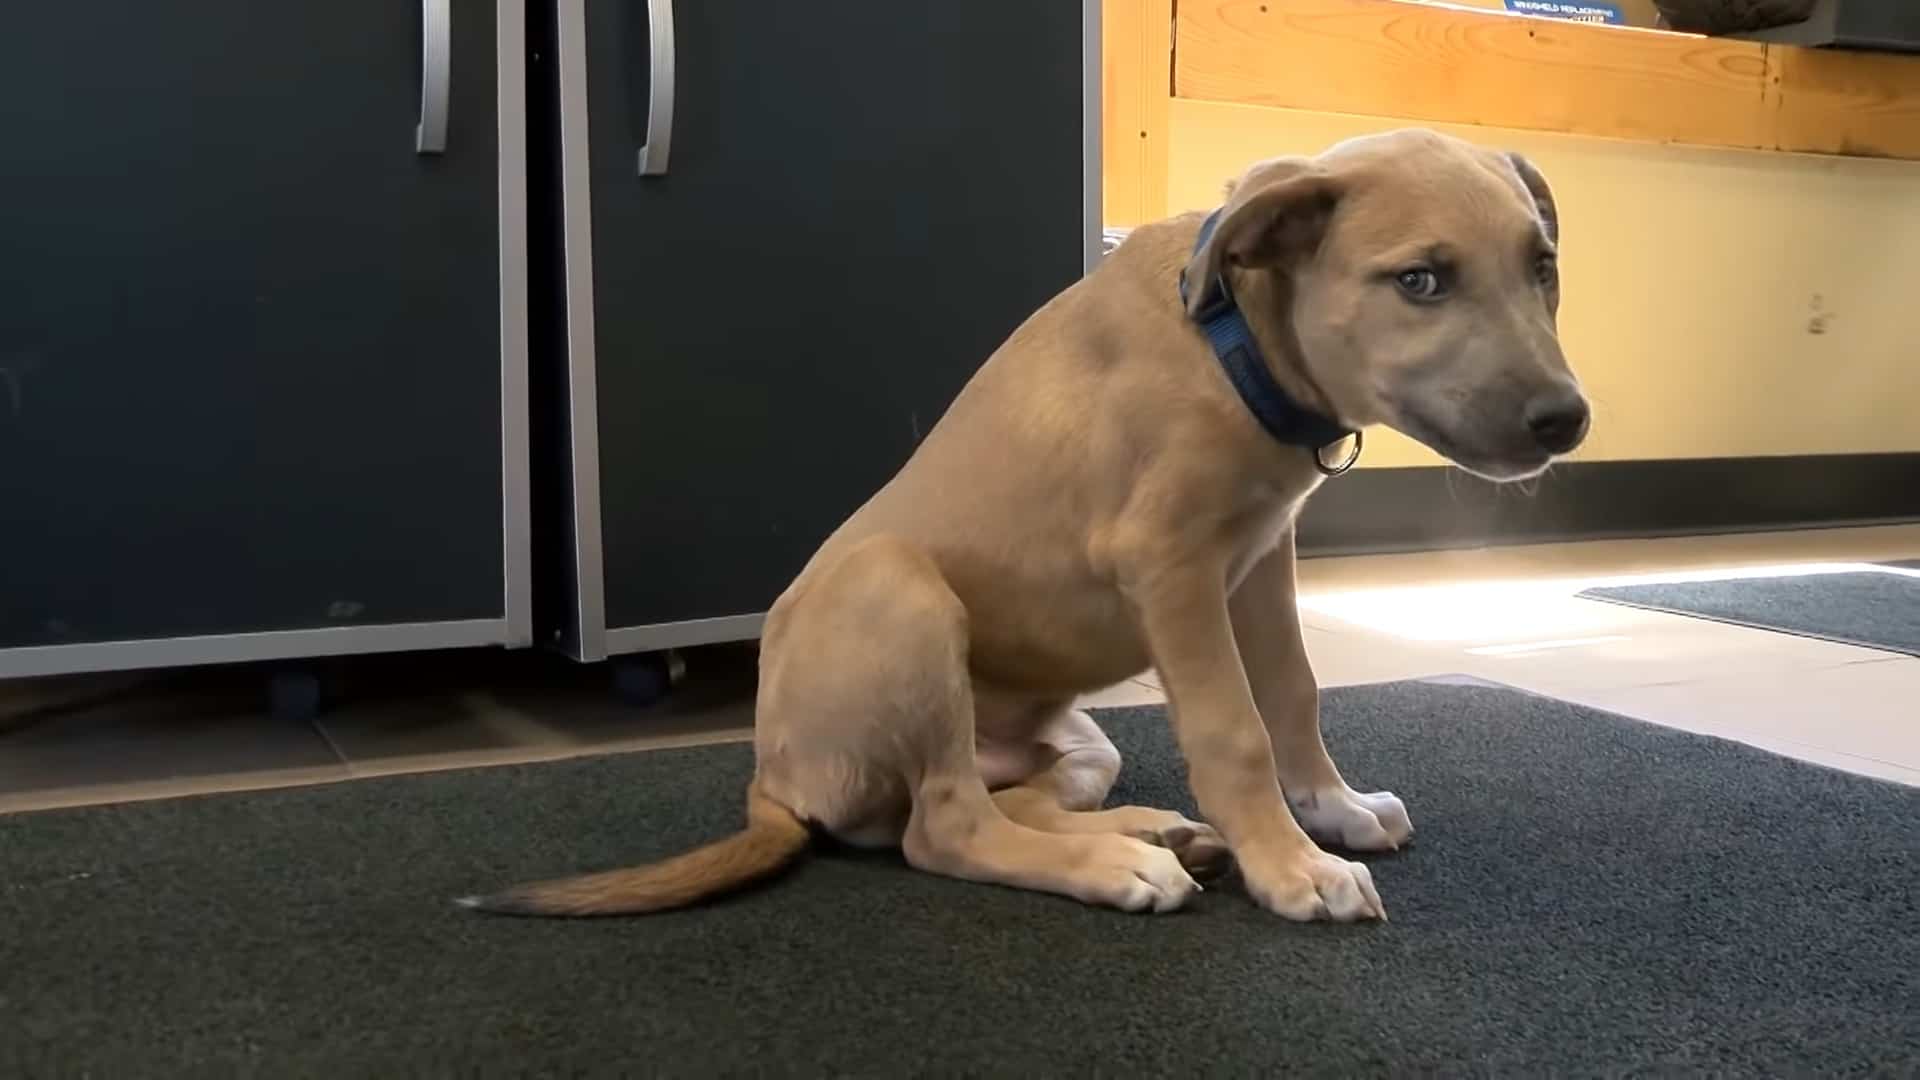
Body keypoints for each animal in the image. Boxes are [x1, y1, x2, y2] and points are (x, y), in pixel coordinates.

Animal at [464, 123, 1589, 914]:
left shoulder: (1265, 558)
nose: (1567, 420)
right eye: (1420, 280)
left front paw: (1331, 812)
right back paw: (1121, 866)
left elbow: (1295, 693)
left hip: (1072, 741)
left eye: (1543, 266)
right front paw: (1292, 868)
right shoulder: (1170, 565)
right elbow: (1232, 727)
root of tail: (776, 774)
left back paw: (1153, 833)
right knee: (942, 829)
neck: (1231, 342)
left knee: (990, 799)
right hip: (898, 590)